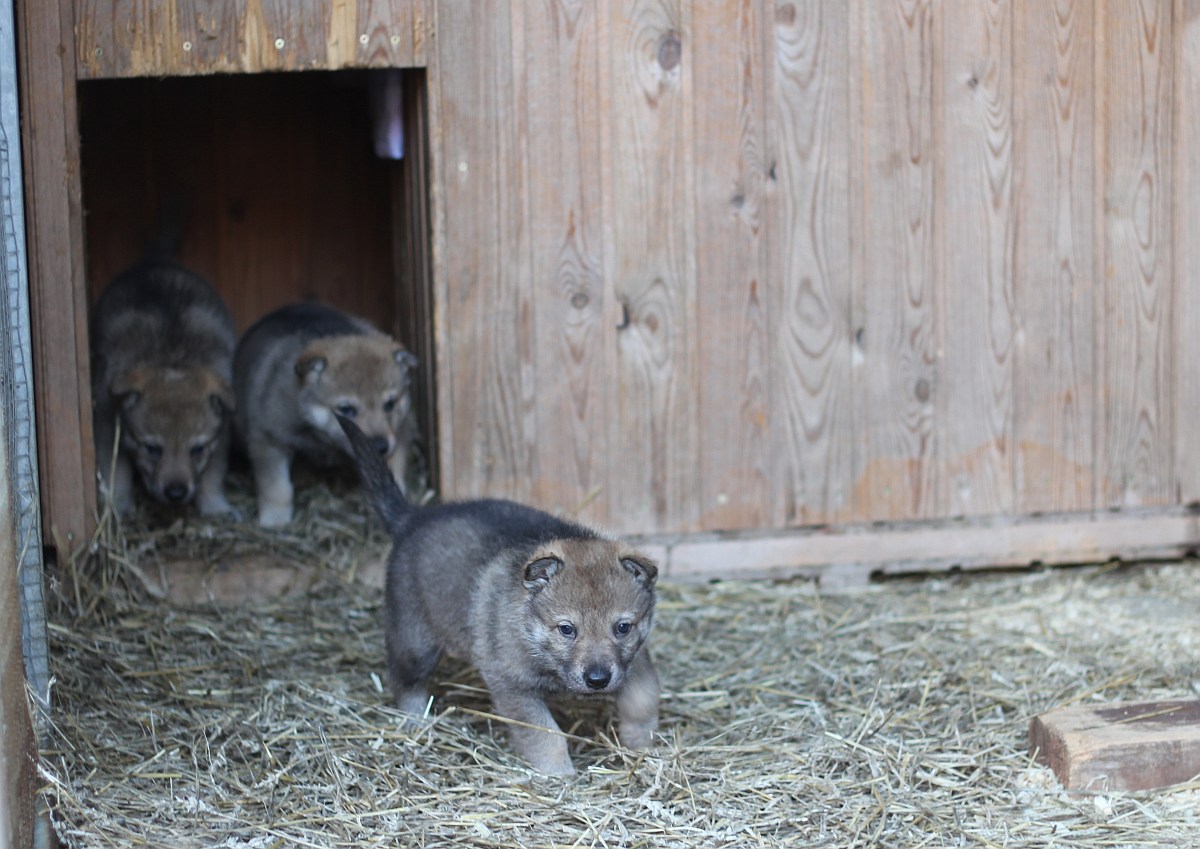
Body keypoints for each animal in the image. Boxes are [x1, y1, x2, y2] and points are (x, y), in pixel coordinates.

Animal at [89, 261, 238, 513]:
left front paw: (214, 506)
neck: (172, 359)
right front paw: (120, 505)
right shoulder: (107, 425)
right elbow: (117, 470)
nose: (176, 493)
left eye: (197, 450)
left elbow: (213, 473)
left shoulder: (221, 435)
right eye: (152, 448)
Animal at [231, 304, 420, 527]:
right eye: (346, 409)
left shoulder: (400, 432)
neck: (322, 439)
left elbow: (392, 471)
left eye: (390, 404)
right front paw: (275, 519)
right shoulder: (267, 438)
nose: (380, 446)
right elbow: (276, 486)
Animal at [338, 412, 662, 777]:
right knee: (403, 681)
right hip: (414, 642)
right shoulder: (512, 685)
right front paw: (560, 775)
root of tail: (413, 517)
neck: (528, 628)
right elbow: (546, 736)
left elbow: (642, 701)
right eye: (567, 629)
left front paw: (641, 746)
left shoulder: (635, 660)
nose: (597, 679)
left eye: (623, 627)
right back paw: (415, 722)